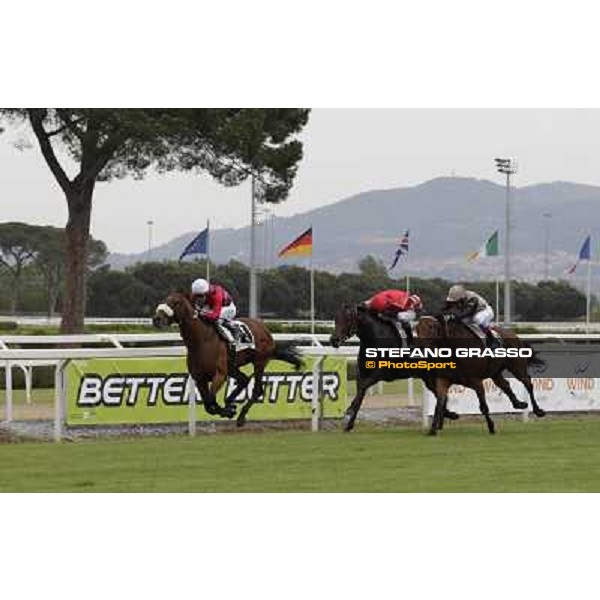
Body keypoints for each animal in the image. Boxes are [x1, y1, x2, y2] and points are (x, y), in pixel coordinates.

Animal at [152, 292, 302, 424]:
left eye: (176, 302)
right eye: (165, 299)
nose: (157, 319)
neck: (201, 341)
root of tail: (264, 328)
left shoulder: (220, 375)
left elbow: (211, 400)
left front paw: (229, 411)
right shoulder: (199, 378)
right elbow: (208, 405)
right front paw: (229, 409)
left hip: (259, 362)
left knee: (257, 390)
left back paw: (240, 417)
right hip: (232, 366)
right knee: (244, 379)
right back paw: (230, 402)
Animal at [328, 304, 454, 432]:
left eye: (348, 319)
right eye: (336, 319)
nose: (334, 340)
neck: (374, 339)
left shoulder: (378, 374)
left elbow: (362, 389)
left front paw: (349, 409)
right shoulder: (361, 374)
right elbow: (360, 395)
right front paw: (349, 425)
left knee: (442, 396)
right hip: (428, 378)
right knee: (442, 396)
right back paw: (442, 421)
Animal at [414, 314, 548, 436]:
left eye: (431, 327)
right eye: (417, 329)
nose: (420, 348)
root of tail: (513, 334)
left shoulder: (476, 381)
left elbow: (483, 406)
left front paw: (491, 427)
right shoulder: (443, 380)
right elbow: (440, 403)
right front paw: (433, 429)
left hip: (517, 367)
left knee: (528, 382)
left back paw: (538, 410)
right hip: (495, 372)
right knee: (505, 384)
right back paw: (519, 403)